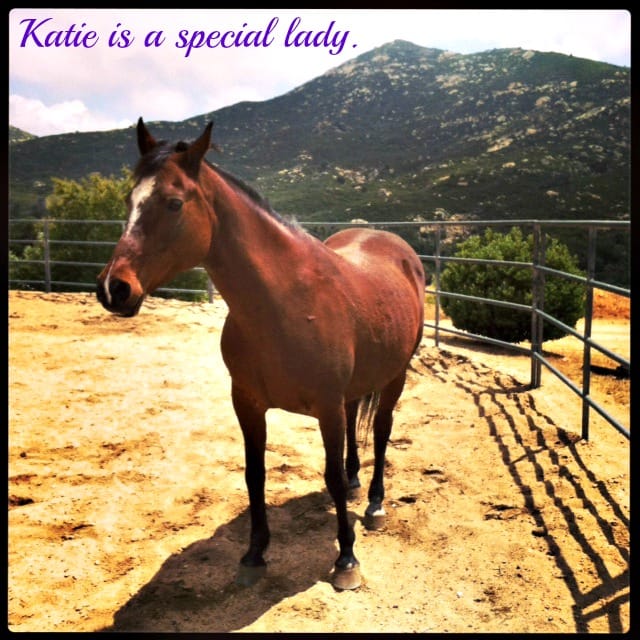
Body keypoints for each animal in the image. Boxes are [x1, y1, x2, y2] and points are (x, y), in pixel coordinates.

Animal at [97, 118, 425, 590]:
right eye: (129, 200)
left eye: (174, 203)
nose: (114, 288)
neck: (285, 303)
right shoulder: (248, 403)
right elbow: (255, 474)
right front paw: (254, 554)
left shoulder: (326, 407)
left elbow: (328, 476)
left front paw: (346, 559)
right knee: (354, 434)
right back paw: (355, 482)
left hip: (395, 376)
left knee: (381, 432)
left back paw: (375, 504)